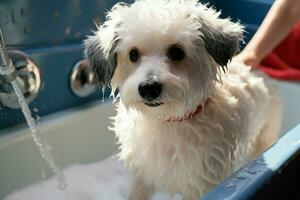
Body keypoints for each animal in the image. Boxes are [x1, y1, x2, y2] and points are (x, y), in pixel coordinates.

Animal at [84, 0, 282, 199]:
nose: (149, 88)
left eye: (177, 52)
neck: (166, 121)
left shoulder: (201, 184)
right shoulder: (142, 175)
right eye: (133, 54)